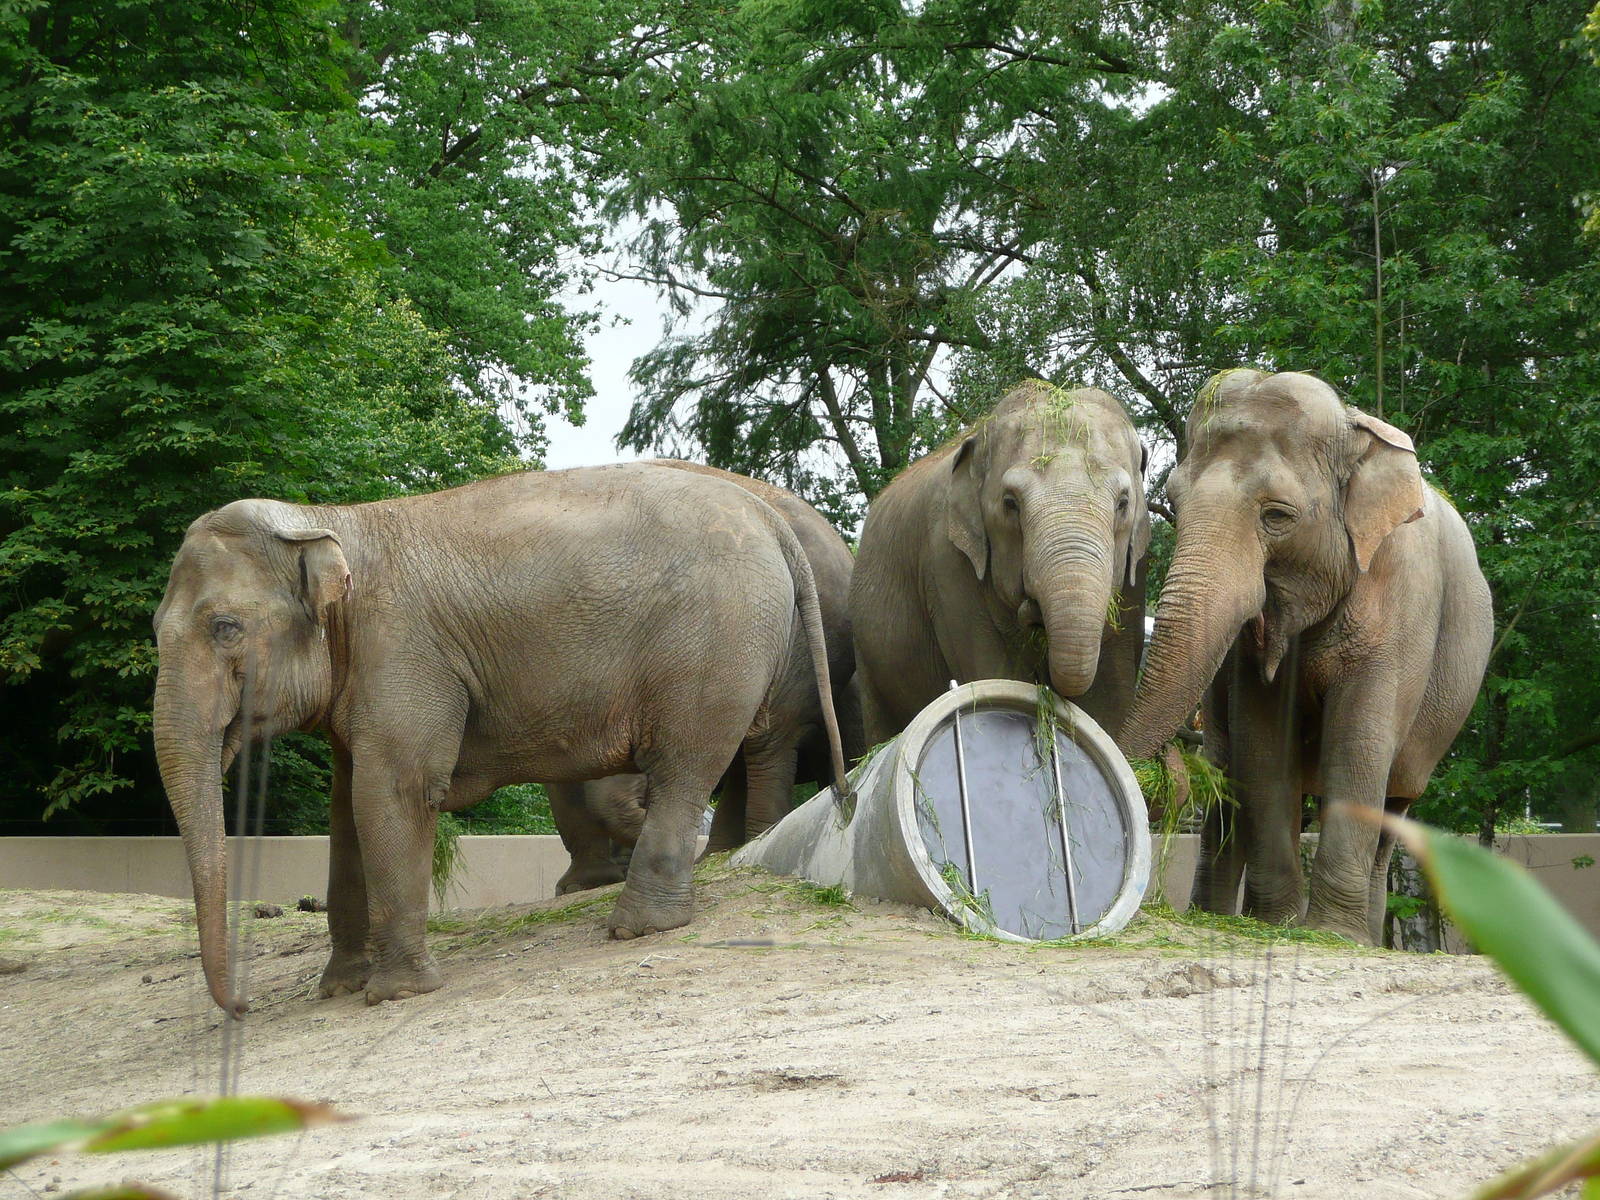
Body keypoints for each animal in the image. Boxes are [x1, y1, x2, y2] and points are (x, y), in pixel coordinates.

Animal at [850, 380, 1150, 744]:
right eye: (1010, 503)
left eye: (1123, 503)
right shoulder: (947, 565)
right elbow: (994, 672)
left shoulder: (1135, 578)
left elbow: (1111, 697)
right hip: (866, 648)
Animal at [1117, 369, 1493, 944]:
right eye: (1175, 507)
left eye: (1277, 515)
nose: (1163, 761)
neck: (1352, 431)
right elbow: (1264, 748)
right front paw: (1279, 925)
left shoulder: (1402, 597)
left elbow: (1358, 744)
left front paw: (1330, 935)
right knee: (1231, 770)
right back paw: (1222, 916)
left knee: (1394, 805)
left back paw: (1365, 936)